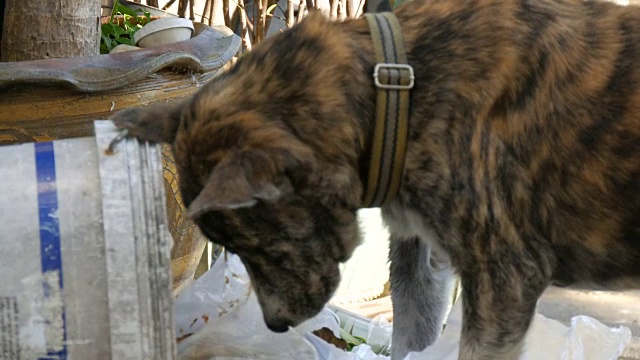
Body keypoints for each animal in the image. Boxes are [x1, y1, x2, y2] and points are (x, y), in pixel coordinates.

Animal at [111, 1, 640, 358]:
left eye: (264, 246)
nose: (276, 326)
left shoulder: (504, 280)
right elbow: (410, 338)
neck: (395, 85)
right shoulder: (423, 262)